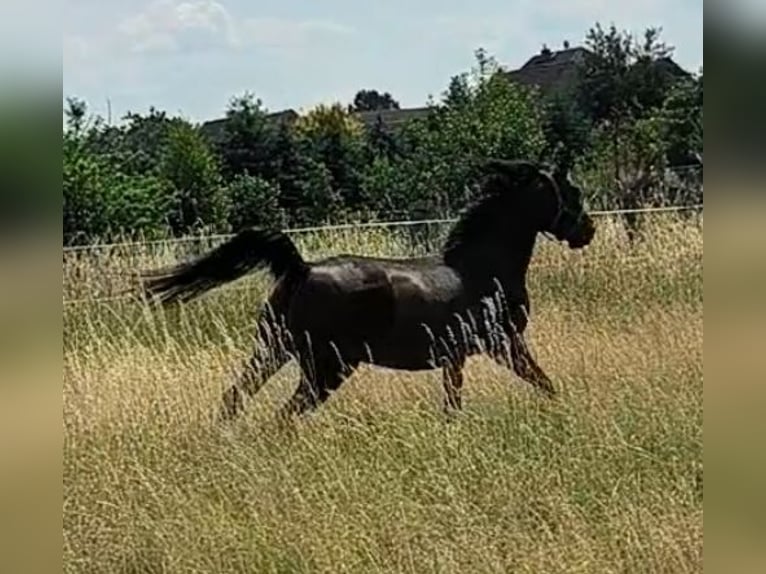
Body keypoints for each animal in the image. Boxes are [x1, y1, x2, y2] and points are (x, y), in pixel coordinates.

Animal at [140, 159, 596, 420]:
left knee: (233, 400)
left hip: (273, 351)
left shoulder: (457, 356)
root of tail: (301, 269)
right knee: (282, 417)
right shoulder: (503, 343)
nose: (587, 230)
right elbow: (543, 382)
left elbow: (453, 404)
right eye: (571, 193)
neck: (483, 268)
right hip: (326, 368)